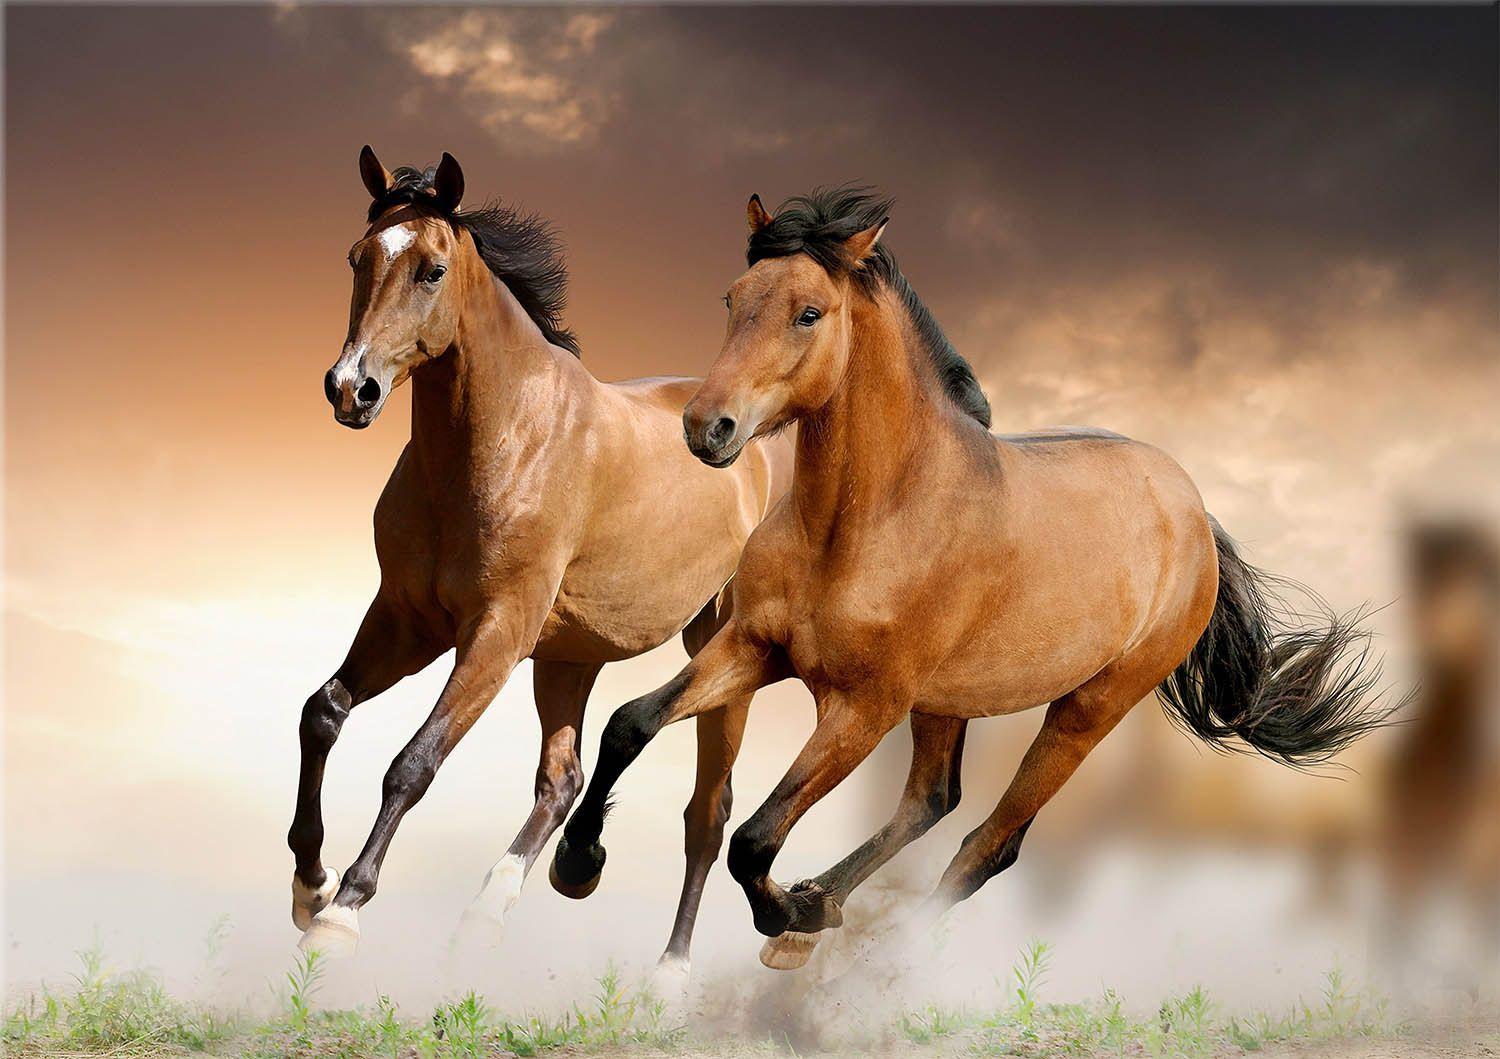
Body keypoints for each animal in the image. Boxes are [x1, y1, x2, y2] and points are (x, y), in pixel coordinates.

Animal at [290, 148, 790, 990]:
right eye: (358, 258)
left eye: (431, 269)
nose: (350, 388)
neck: (504, 440)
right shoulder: (406, 619)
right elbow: (322, 710)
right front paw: (308, 884)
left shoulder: (496, 632)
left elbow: (413, 762)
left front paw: (340, 915)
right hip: (568, 657)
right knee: (564, 780)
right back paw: (503, 904)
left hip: (720, 653)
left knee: (706, 813)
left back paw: (669, 970)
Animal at [550, 185, 1397, 974]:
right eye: (733, 298)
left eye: (808, 313)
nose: (707, 428)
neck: (864, 521)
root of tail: (1193, 514)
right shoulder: (756, 646)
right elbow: (630, 722)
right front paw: (577, 864)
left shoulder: (864, 706)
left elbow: (755, 839)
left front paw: (785, 911)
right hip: (947, 701)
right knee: (933, 799)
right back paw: (822, 905)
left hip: (1086, 709)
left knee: (988, 844)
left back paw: (852, 948)